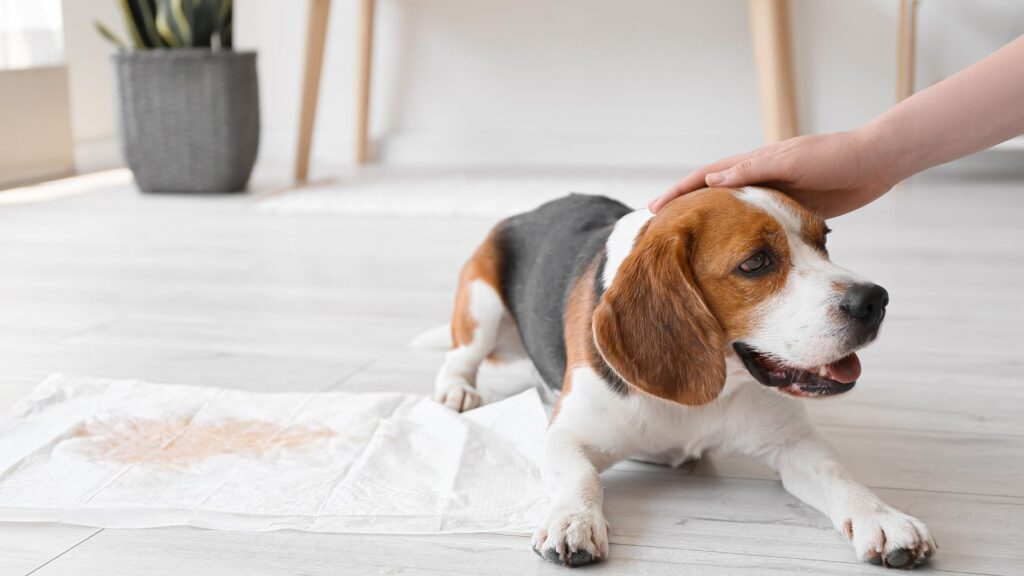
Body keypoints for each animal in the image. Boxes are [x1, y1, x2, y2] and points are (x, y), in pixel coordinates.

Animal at [432, 187, 937, 565]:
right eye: (756, 262)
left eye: (824, 240)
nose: (874, 300)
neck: (717, 384)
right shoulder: (566, 434)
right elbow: (581, 475)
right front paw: (574, 520)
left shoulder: (794, 445)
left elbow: (839, 477)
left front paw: (883, 518)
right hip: (481, 305)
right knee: (460, 356)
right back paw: (457, 390)